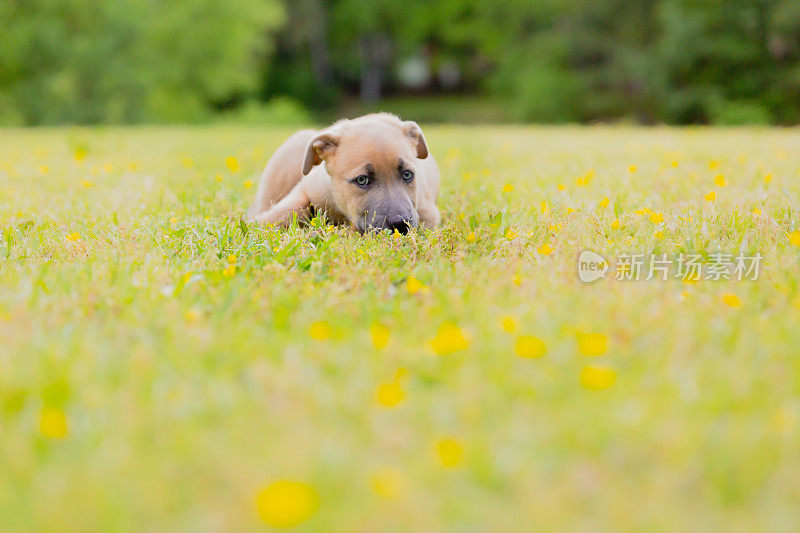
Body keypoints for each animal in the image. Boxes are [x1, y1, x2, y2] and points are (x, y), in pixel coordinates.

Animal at [247, 113, 440, 232]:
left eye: (408, 174)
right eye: (362, 180)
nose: (401, 225)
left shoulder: (427, 214)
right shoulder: (306, 187)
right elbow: (284, 211)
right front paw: (253, 227)